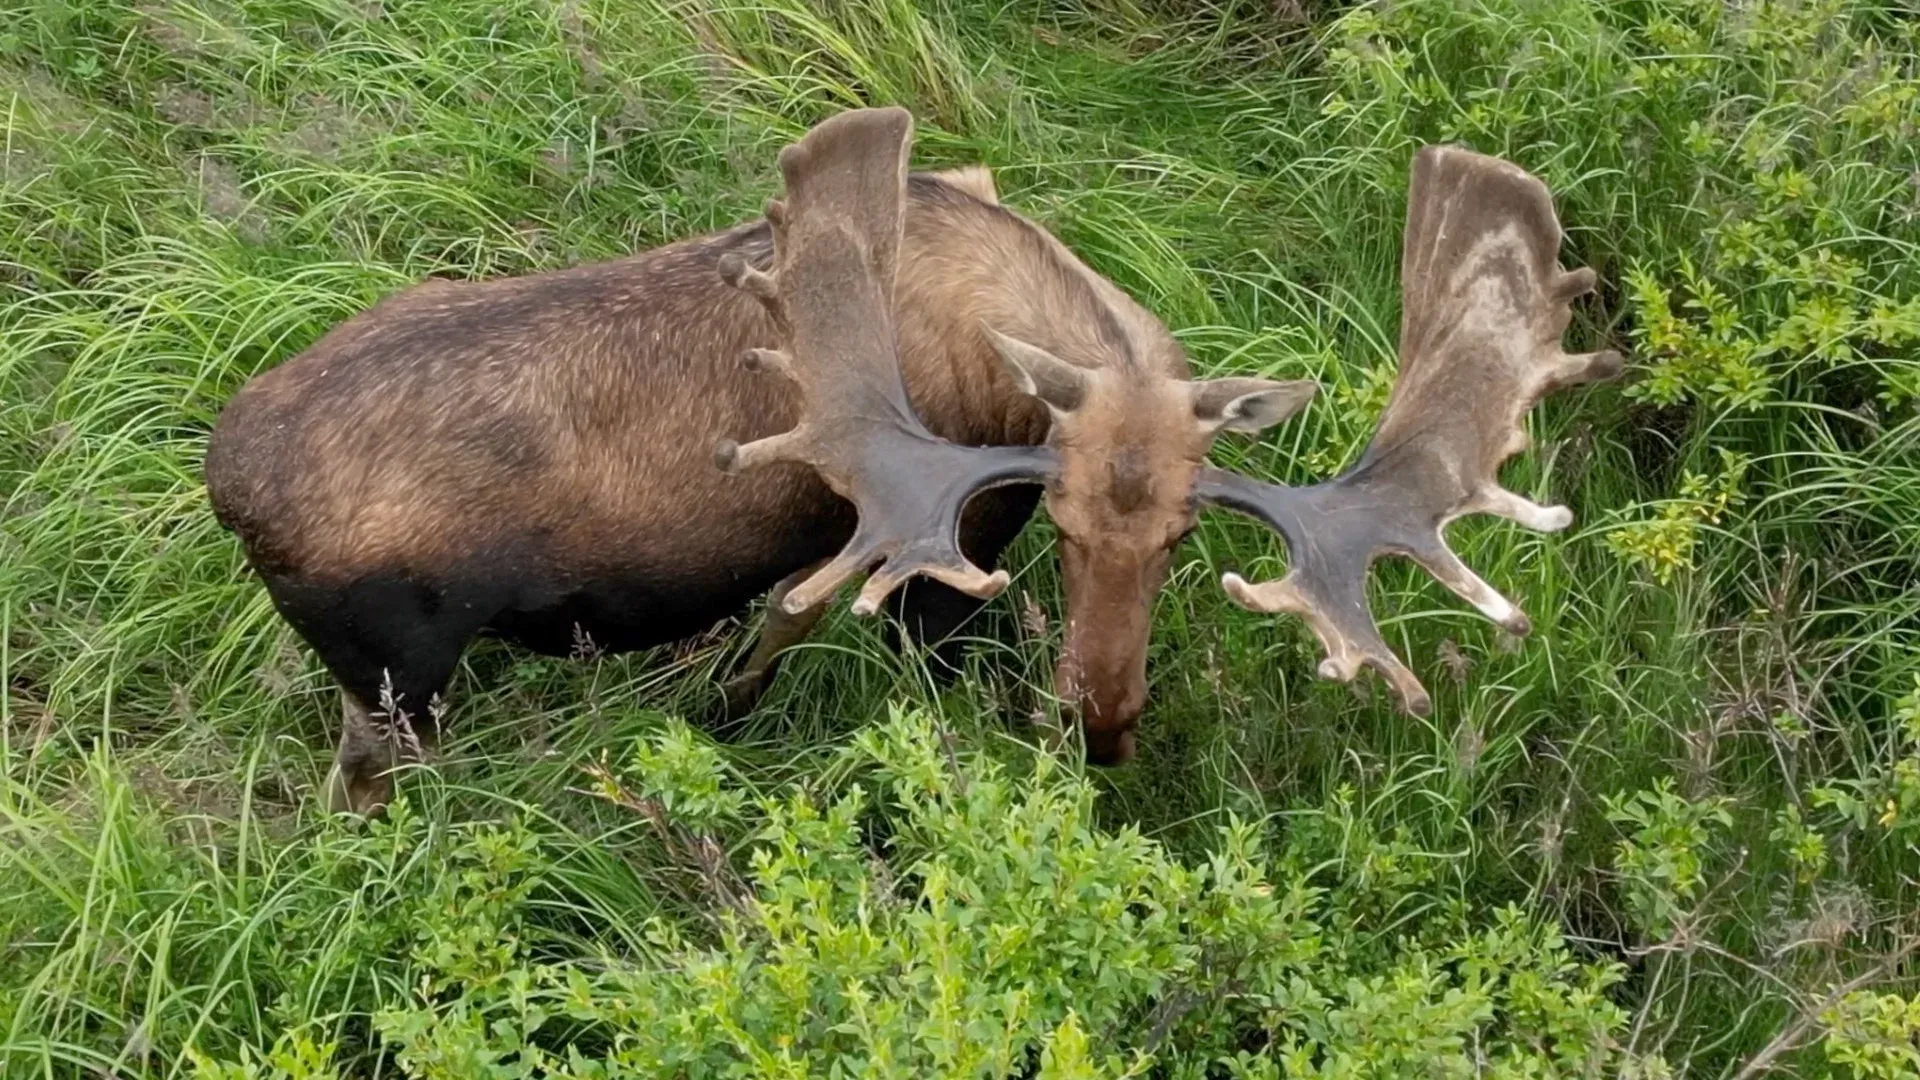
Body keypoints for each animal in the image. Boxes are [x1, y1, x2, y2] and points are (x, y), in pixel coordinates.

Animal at [204, 107, 1620, 815]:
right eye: (1057, 523)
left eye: (1183, 537)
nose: (1107, 724)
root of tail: (224, 480)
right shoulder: (945, 552)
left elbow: (779, 619)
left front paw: (721, 711)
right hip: (396, 680)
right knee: (358, 794)